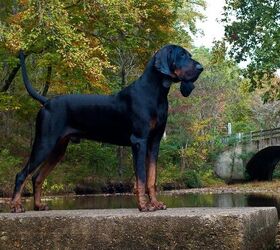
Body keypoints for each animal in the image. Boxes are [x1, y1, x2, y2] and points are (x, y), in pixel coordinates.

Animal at [10, 44, 202, 212]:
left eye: (189, 55)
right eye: (182, 55)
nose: (201, 67)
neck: (156, 93)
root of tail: (46, 102)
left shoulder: (154, 143)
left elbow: (151, 178)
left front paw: (155, 203)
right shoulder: (139, 141)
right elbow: (141, 178)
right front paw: (144, 206)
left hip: (58, 149)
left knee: (37, 177)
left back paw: (38, 206)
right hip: (44, 143)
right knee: (22, 174)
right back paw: (16, 206)